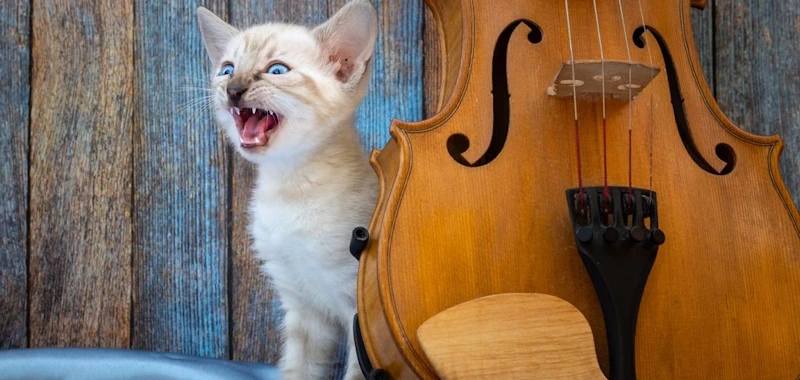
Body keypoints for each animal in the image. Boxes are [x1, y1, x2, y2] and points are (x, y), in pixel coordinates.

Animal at [195, 1, 380, 378]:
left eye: (277, 70)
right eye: (227, 69)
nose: (233, 88)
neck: (288, 185)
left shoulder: (361, 316)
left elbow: (354, 373)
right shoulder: (303, 307)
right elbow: (298, 369)